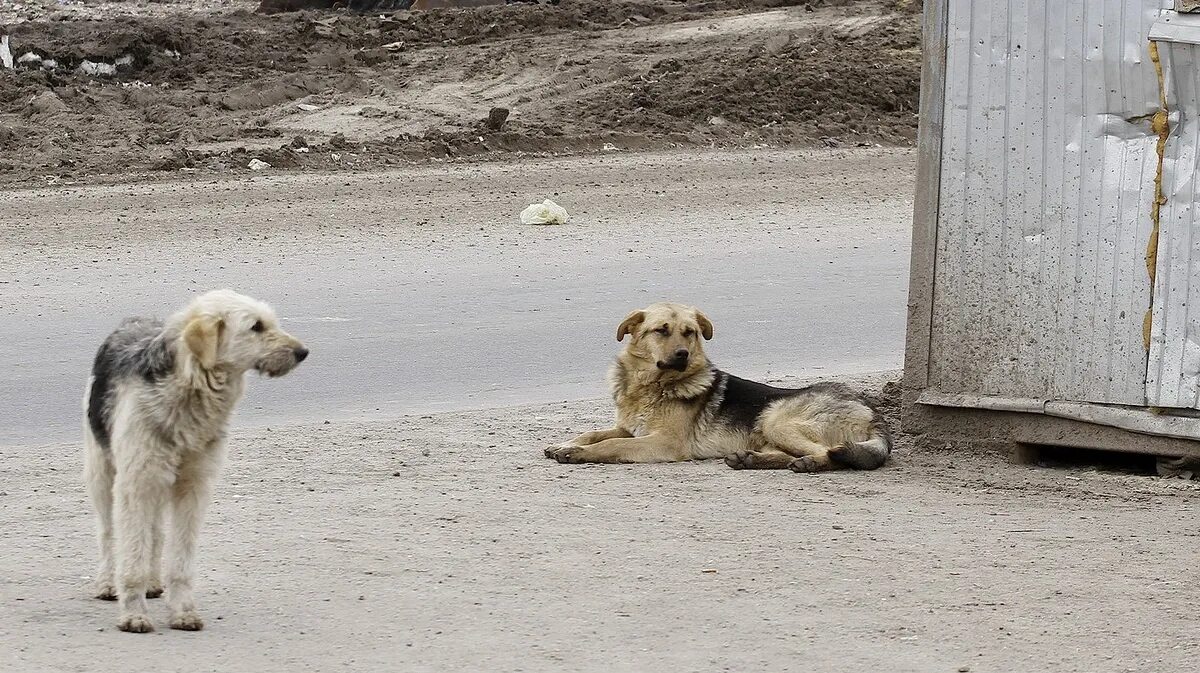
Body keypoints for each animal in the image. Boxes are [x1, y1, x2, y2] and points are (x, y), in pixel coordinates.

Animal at [83, 291, 309, 633]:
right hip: (104, 475)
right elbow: (132, 555)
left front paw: (183, 611)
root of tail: (133, 320)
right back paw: (108, 583)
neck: (190, 386)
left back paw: (153, 582)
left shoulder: (193, 487)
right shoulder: (136, 483)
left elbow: (180, 559)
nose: (303, 352)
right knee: (108, 535)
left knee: (155, 533)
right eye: (256, 326)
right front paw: (134, 614)